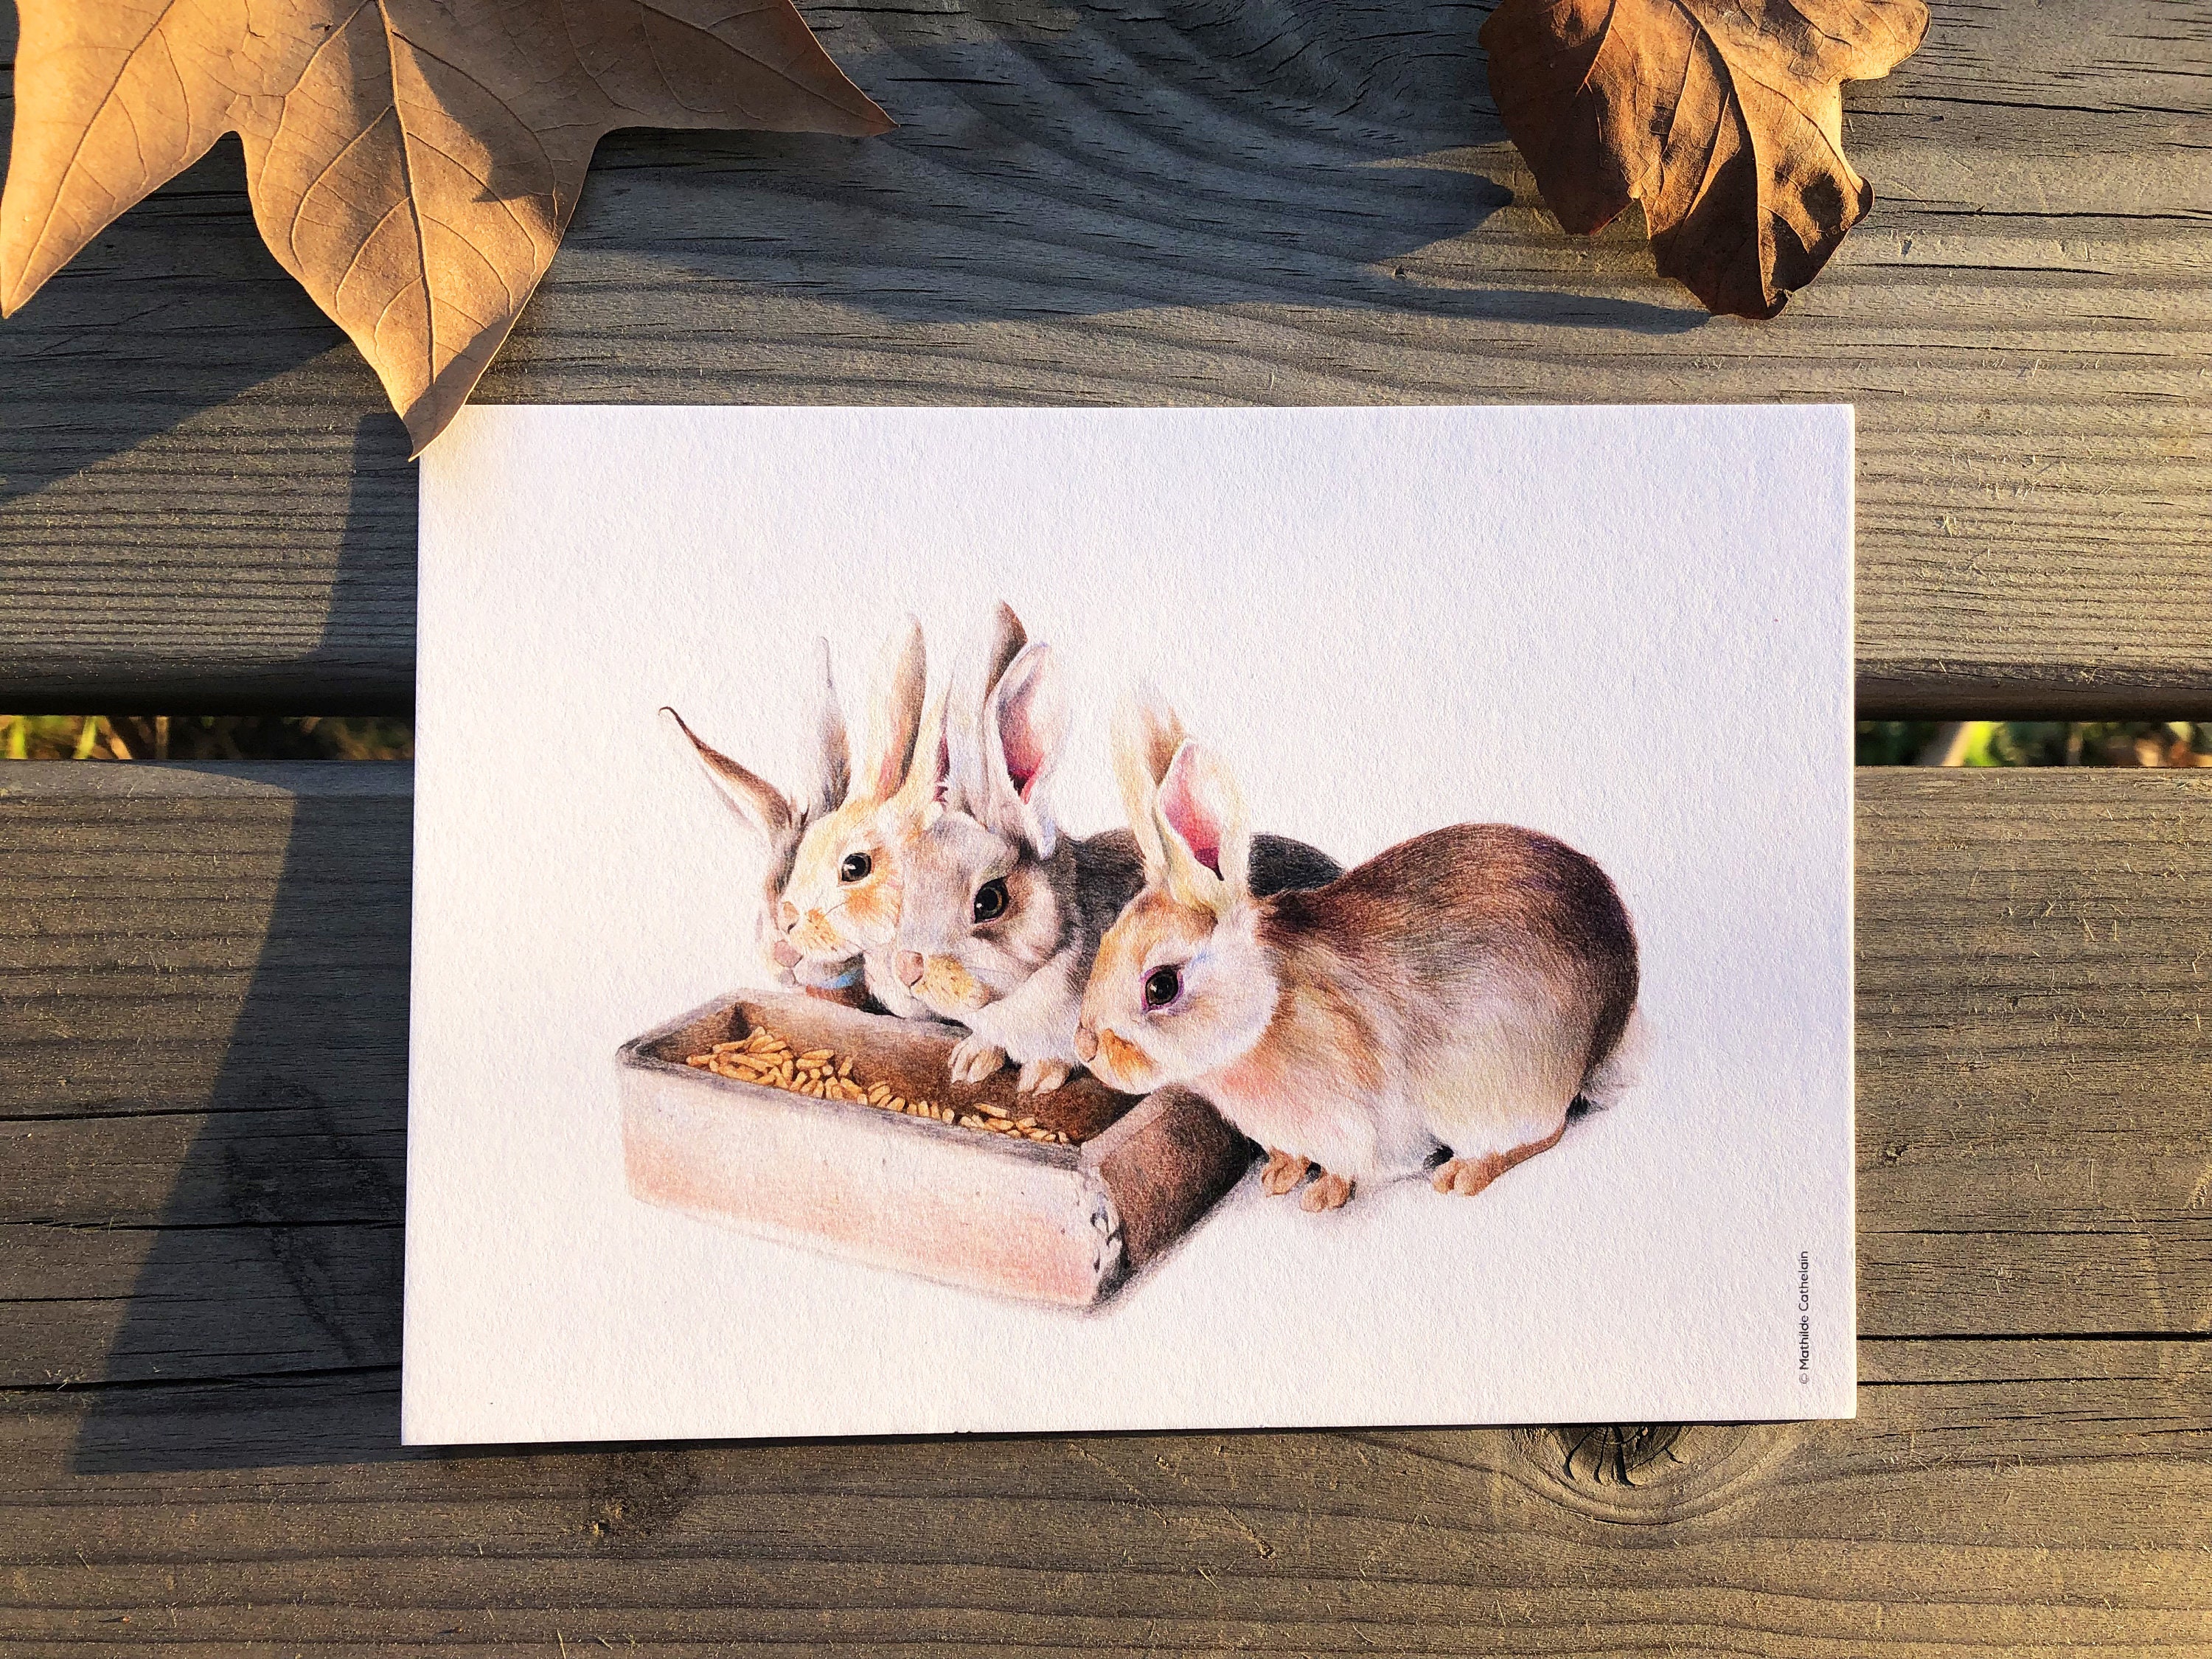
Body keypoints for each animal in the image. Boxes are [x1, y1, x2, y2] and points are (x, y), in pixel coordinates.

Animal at [1073, 720, 1639, 1211]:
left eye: (1162, 986)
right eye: (1106, 939)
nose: (1085, 1047)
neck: (1264, 1013)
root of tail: (1613, 1017)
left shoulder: (1349, 1123)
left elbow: (1344, 1168)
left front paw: (1320, 1199)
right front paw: (1278, 1177)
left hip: (1492, 1092)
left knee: (1546, 1131)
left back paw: (1462, 1175)